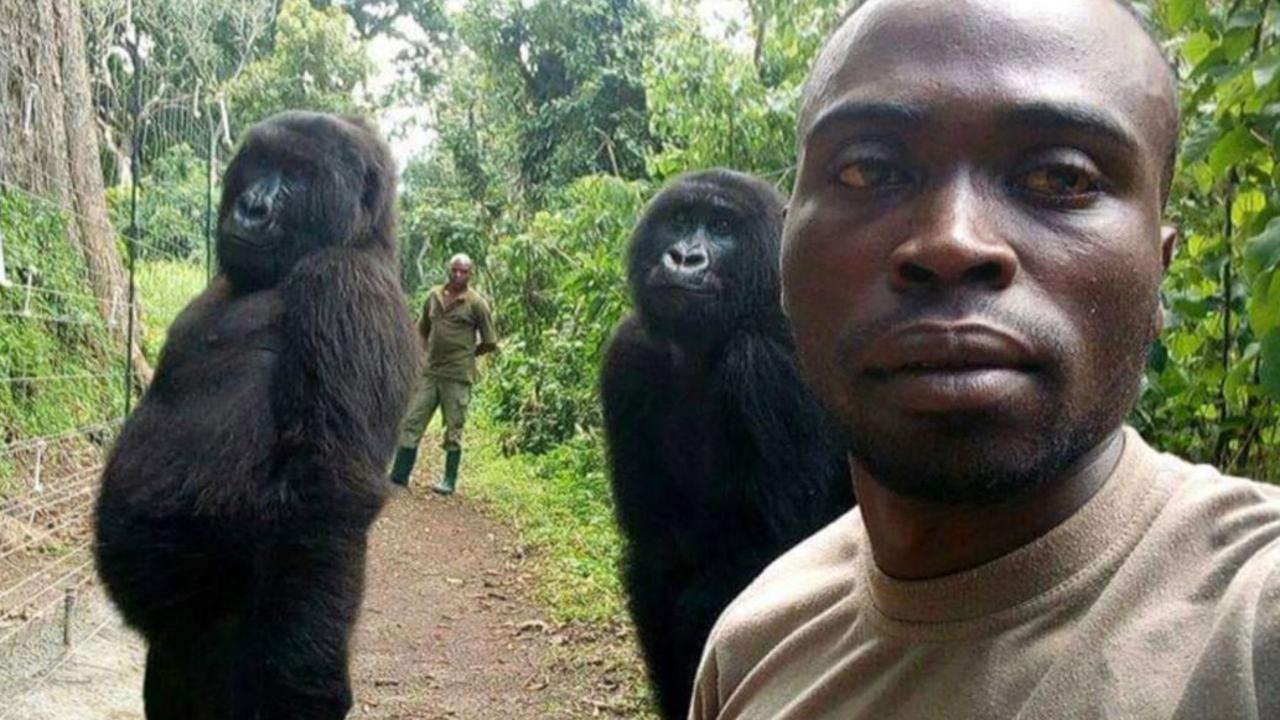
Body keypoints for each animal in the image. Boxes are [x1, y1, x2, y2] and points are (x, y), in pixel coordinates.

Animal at [96, 112, 414, 717]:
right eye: (259, 164)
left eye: (297, 174)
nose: (252, 206)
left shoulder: (345, 288)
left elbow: (328, 489)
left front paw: (307, 682)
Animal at [601, 169, 860, 717]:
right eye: (680, 219)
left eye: (721, 227)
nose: (684, 257)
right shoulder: (628, 354)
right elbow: (656, 563)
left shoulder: (769, 364)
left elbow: (762, 566)